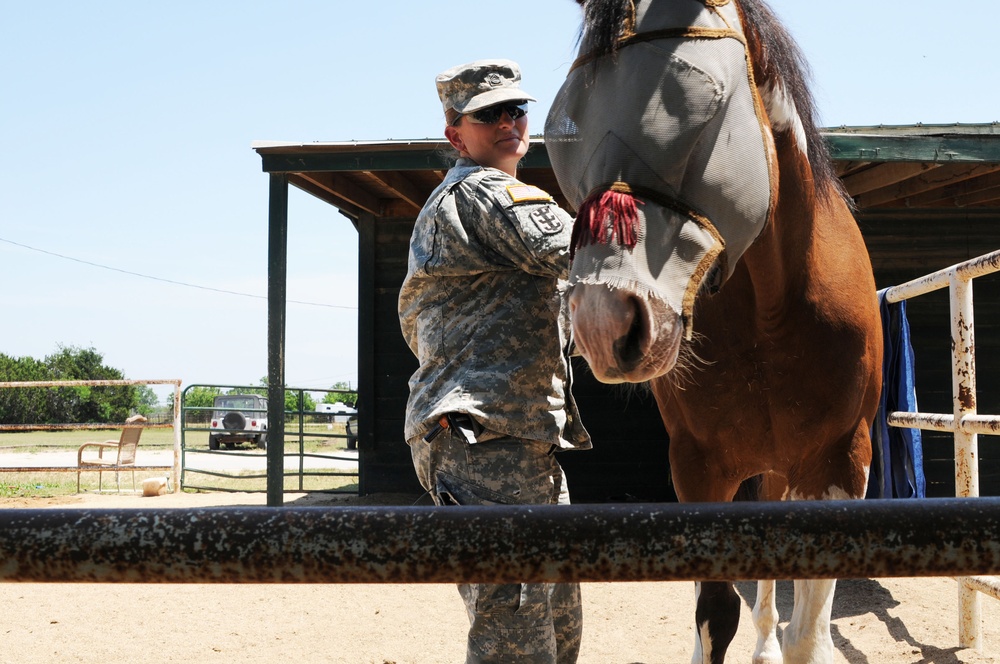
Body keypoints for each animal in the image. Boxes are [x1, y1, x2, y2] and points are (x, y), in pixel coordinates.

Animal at [548, 1, 884, 664]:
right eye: (563, 128)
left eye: (700, 105)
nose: (604, 321)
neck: (770, 315)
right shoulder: (699, 469)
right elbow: (716, 615)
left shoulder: (837, 465)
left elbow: (808, 632)